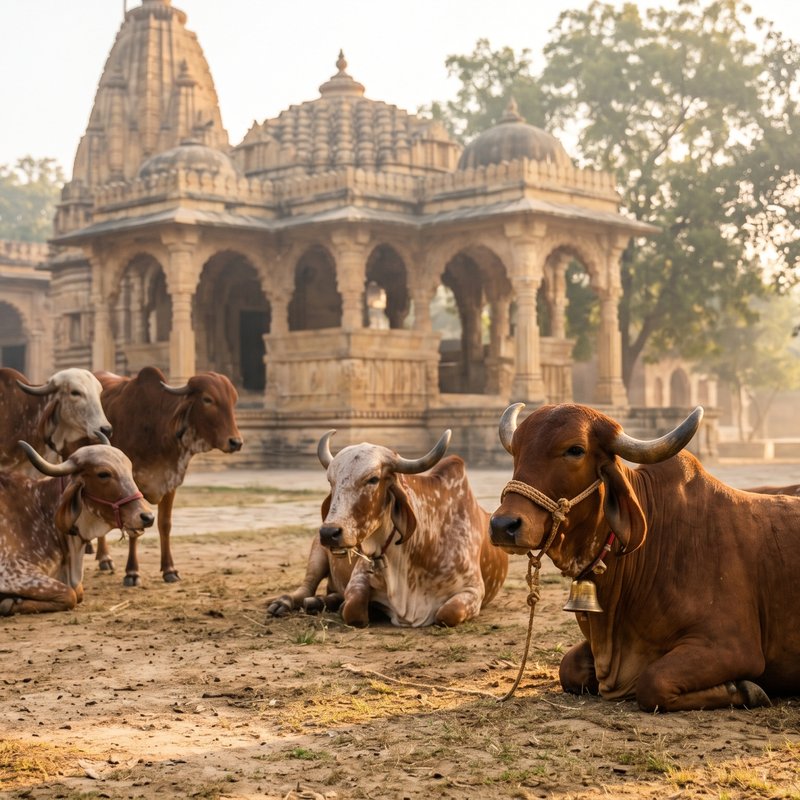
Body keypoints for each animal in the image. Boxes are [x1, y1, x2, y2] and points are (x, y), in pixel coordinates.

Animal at [0, 440, 154, 615]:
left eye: (129, 469)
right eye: (103, 474)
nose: (147, 517)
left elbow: (78, 593)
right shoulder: (12, 572)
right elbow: (70, 595)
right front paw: (7, 603)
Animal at [91, 366, 243, 586]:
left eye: (233, 400)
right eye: (207, 399)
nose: (236, 442)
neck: (157, 425)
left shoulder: (171, 482)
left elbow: (165, 524)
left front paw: (169, 569)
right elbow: (134, 529)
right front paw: (132, 573)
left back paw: (104, 558)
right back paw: (102, 557)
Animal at [267, 429, 508, 628]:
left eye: (373, 479)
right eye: (331, 481)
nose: (329, 532)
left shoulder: (473, 590)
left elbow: (447, 614)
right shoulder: (359, 576)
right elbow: (353, 609)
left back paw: (320, 601)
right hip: (316, 551)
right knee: (306, 587)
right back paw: (287, 603)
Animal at [489, 402, 800, 712]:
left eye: (575, 450)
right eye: (516, 449)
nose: (503, 525)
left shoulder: (733, 646)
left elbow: (653, 682)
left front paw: (746, 689)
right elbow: (568, 667)